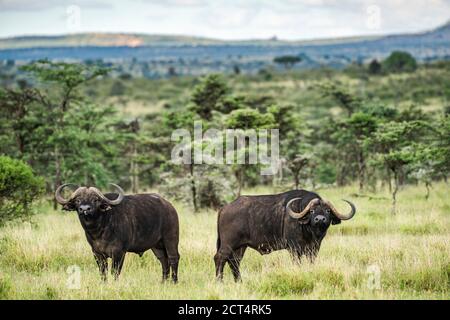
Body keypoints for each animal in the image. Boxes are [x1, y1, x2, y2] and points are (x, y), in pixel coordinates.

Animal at [214, 189, 356, 282]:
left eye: (327, 211)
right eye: (312, 211)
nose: (320, 219)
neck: (309, 232)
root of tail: (224, 208)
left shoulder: (314, 248)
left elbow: (311, 262)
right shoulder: (294, 248)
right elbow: (297, 263)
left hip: (240, 247)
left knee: (234, 262)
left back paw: (239, 281)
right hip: (228, 244)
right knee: (219, 258)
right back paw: (219, 281)